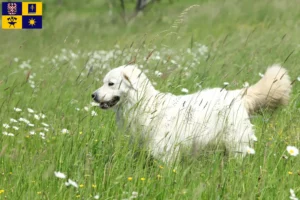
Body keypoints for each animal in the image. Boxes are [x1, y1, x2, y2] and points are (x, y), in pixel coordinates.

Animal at [91, 65, 290, 162]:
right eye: (103, 82)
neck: (145, 104)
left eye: (110, 83)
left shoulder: (165, 151)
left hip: (236, 144)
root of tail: (236, 94)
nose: (93, 95)